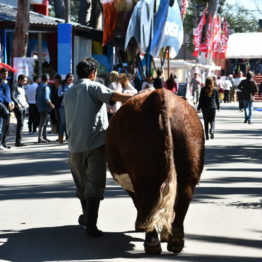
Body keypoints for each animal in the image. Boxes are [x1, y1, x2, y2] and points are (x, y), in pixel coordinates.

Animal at [105, 88, 204, 254]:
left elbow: (139, 202)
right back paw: (175, 242)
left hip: (142, 174)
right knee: (182, 198)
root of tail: (159, 94)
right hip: (189, 166)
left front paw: (141, 225)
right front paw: (164, 233)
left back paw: (152, 243)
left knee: (146, 201)